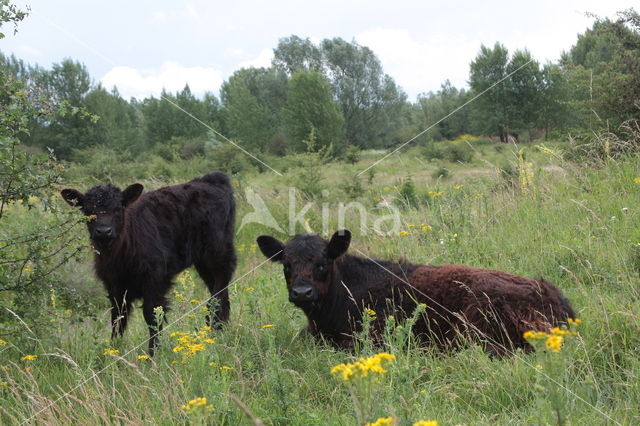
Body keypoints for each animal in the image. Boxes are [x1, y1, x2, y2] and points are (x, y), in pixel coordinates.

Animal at [61, 171, 236, 354]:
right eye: (88, 211)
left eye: (118, 209)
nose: (103, 231)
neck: (119, 255)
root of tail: (213, 179)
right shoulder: (115, 287)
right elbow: (118, 319)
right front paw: (114, 352)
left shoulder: (155, 280)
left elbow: (152, 316)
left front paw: (153, 354)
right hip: (203, 263)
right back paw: (220, 331)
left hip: (219, 254)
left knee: (219, 292)